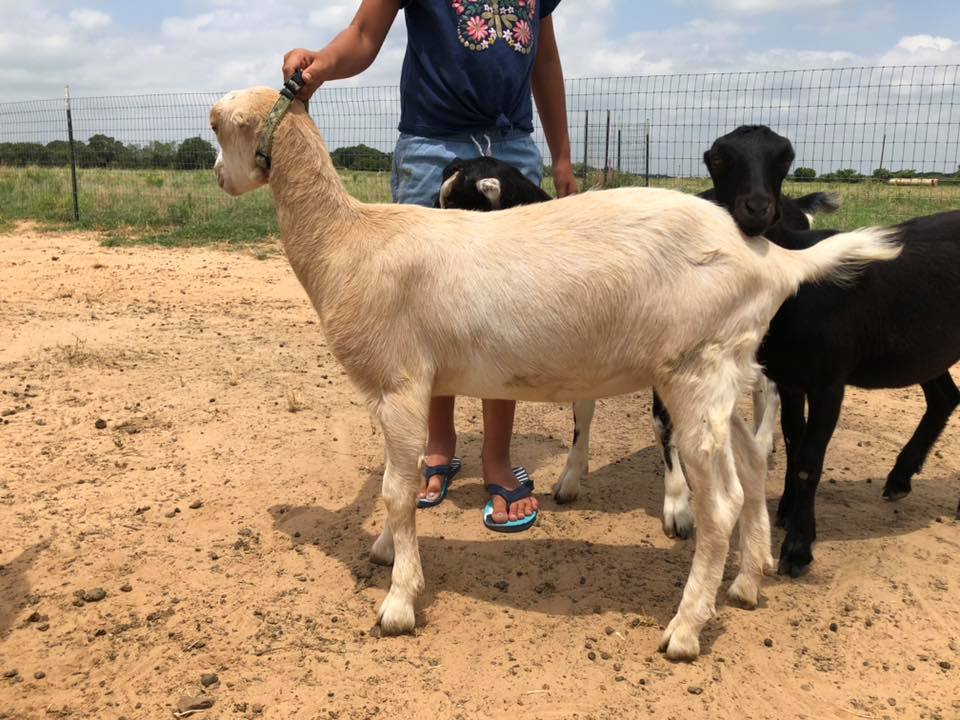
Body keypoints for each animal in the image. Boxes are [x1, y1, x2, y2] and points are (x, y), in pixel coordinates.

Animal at [210, 86, 900, 660]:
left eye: (217, 126)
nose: (217, 173)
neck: (347, 240)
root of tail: (768, 260)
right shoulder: (401, 391)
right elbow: (393, 483)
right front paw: (384, 550)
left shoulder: (400, 384)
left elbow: (397, 489)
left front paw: (399, 602)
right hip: (723, 370)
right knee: (754, 467)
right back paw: (749, 581)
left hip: (695, 372)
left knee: (722, 501)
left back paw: (684, 630)